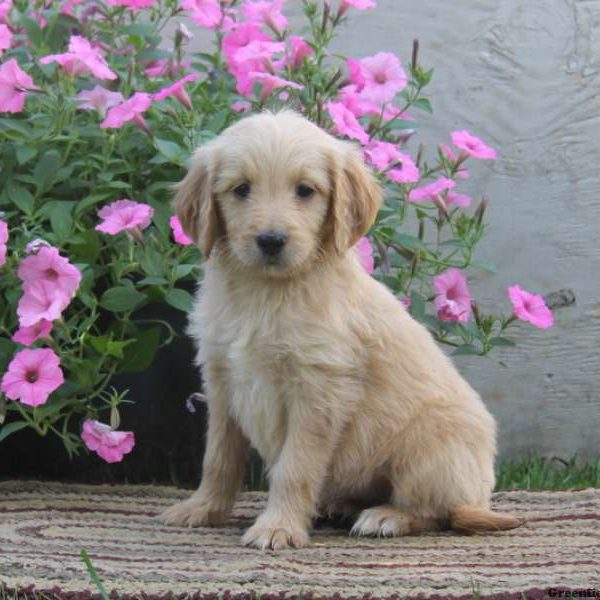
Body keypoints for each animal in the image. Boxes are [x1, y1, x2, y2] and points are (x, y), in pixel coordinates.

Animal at [161, 108, 524, 548]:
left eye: (305, 191)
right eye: (241, 189)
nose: (271, 240)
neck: (266, 293)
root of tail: (479, 496)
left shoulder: (318, 389)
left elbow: (294, 467)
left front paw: (277, 526)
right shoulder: (222, 380)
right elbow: (218, 457)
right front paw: (203, 508)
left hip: (430, 445)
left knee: (436, 511)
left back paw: (385, 516)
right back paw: (339, 506)